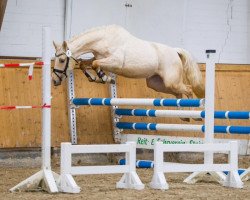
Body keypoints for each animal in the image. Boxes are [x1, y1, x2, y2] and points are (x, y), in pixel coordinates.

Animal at [52, 24, 205, 100]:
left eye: (62, 60)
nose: (54, 81)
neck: (104, 40)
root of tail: (175, 51)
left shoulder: (115, 62)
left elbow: (95, 65)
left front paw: (106, 78)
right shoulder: (98, 58)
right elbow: (85, 64)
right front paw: (95, 78)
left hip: (171, 82)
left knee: (188, 89)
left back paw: (194, 115)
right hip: (157, 84)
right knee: (178, 93)